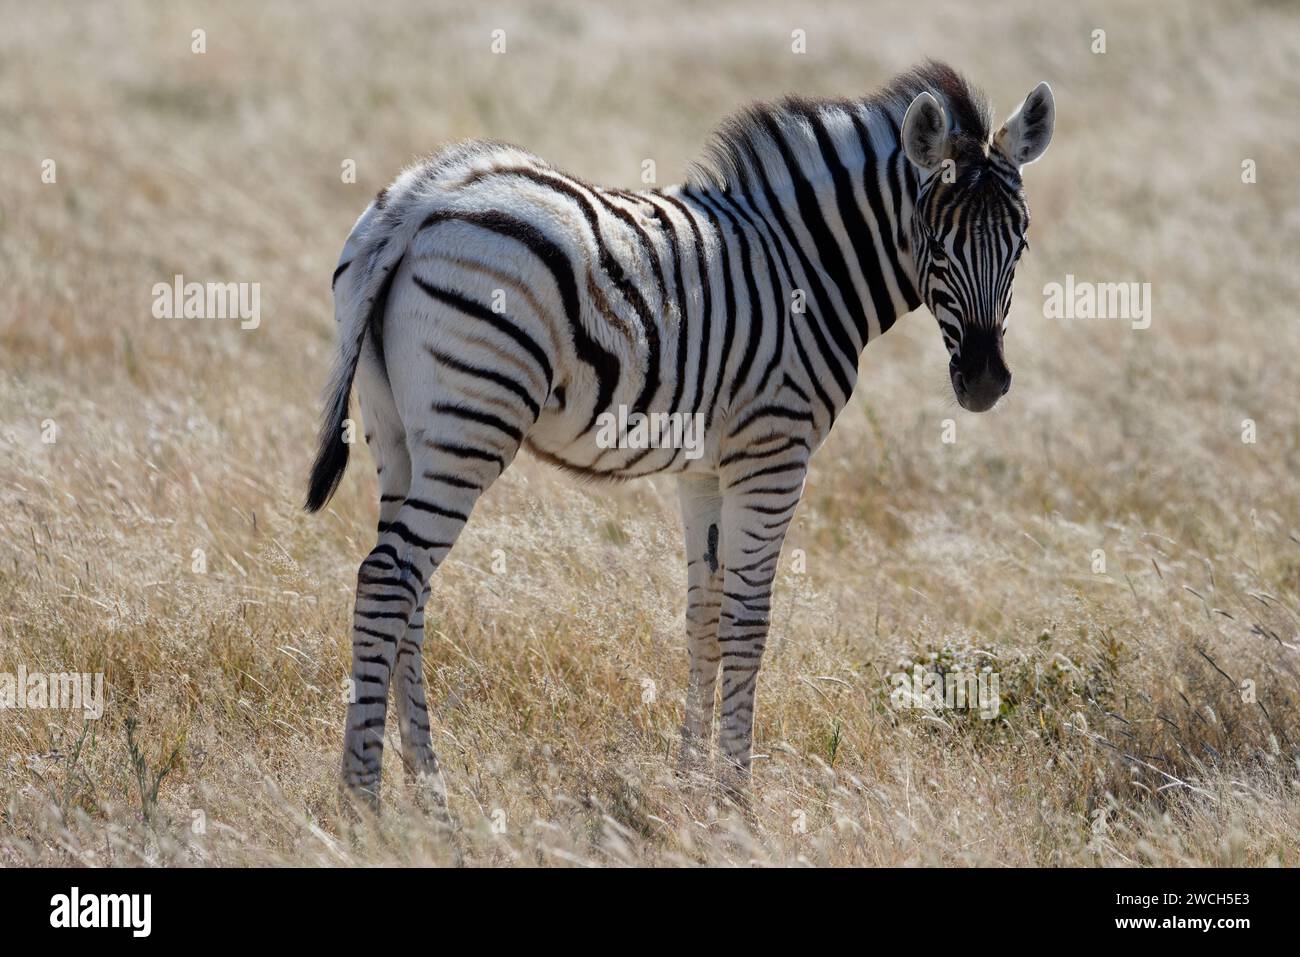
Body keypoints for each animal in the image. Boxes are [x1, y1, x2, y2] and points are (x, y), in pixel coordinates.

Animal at [306, 61, 1055, 809]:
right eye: (935, 242)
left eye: (1020, 240)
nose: (985, 382)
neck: (806, 267)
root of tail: (422, 195)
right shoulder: (774, 453)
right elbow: (748, 621)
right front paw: (736, 796)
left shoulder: (705, 470)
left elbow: (704, 616)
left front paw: (690, 782)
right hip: (471, 421)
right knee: (388, 581)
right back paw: (363, 800)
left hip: (398, 436)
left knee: (410, 593)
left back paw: (429, 793)